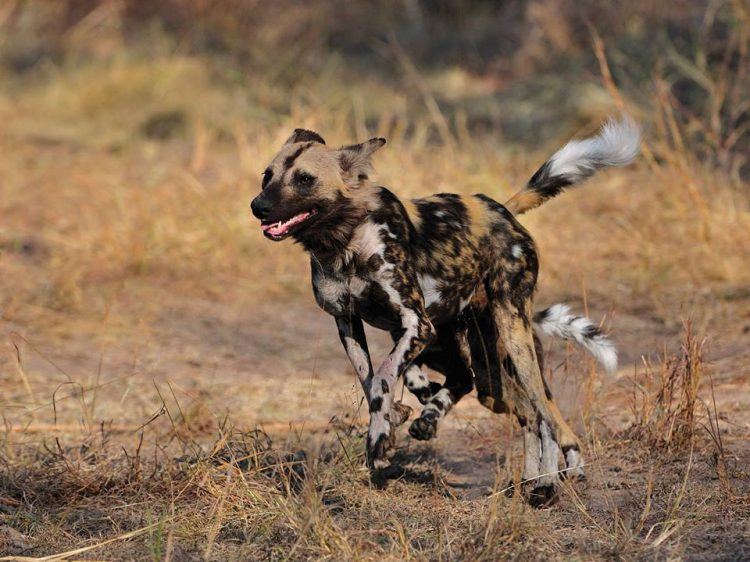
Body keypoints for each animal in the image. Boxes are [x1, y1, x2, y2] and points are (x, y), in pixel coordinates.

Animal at [251, 120, 640, 506]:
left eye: (305, 179)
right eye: (267, 176)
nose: (258, 206)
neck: (344, 241)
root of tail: (503, 211)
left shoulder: (417, 324)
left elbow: (382, 377)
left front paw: (379, 440)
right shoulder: (349, 322)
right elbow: (370, 378)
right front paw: (394, 419)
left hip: (514, 340)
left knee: (545, 415)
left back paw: (549, 484)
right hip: (485, 374)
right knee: (524, 412)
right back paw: (529, 479)